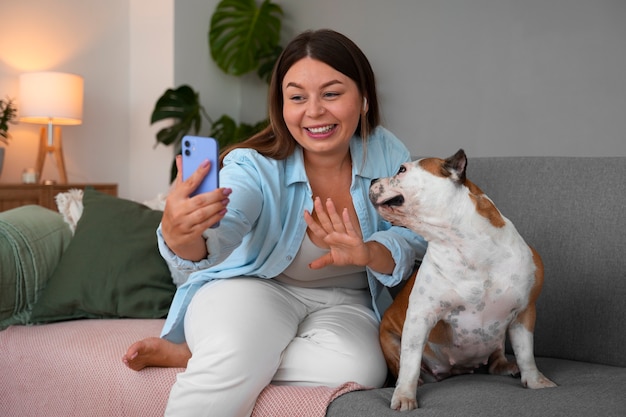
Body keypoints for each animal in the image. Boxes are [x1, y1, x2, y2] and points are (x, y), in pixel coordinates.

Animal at [368, 149, 552, 410]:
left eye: (401, 170)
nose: (373, 180)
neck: (463, 244)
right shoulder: (420, 317)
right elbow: (410, 363)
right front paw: (404, 395)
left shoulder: (524, 312)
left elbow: (526, 353)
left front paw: (536, 381)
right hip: (389, 337)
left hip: (497, 340)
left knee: (496, 360)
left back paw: (508, 366)